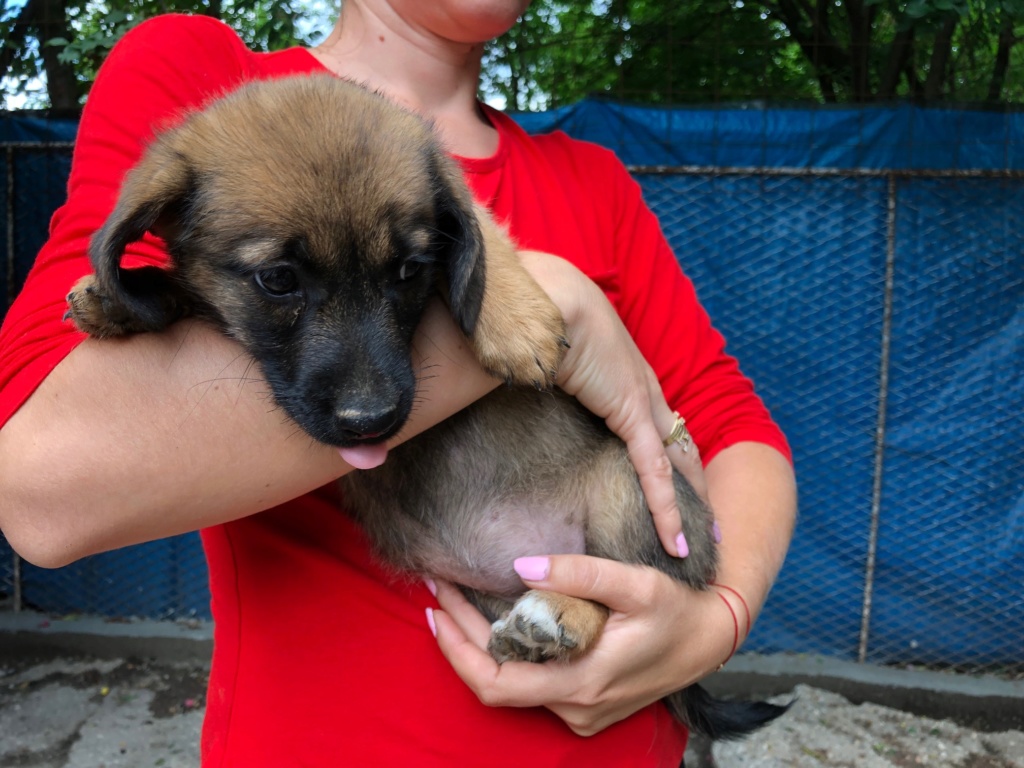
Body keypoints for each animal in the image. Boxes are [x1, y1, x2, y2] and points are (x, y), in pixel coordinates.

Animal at [66, 75, 782, 741]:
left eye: (409, 270)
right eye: (277, 280)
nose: (372, 421)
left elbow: (484, 229)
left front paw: (514, 318)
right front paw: (120, 296)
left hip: (626, 484)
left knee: (632, 588)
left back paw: (557, 617)